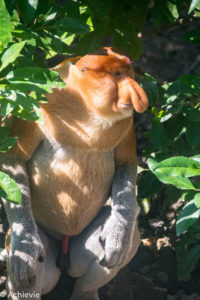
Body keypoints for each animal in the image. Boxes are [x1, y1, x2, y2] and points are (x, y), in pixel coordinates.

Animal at [0, 47, 148, 300]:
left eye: (128, 71)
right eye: (117, 75)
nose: (137, 93)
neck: (87, 109)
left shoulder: (126, 123)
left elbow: (126, 163)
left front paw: (118, 236)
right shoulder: (35, 102)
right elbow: (12, 159)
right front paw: (25, 246)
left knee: (125, 242)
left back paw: (86, 290)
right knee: (28, 267)